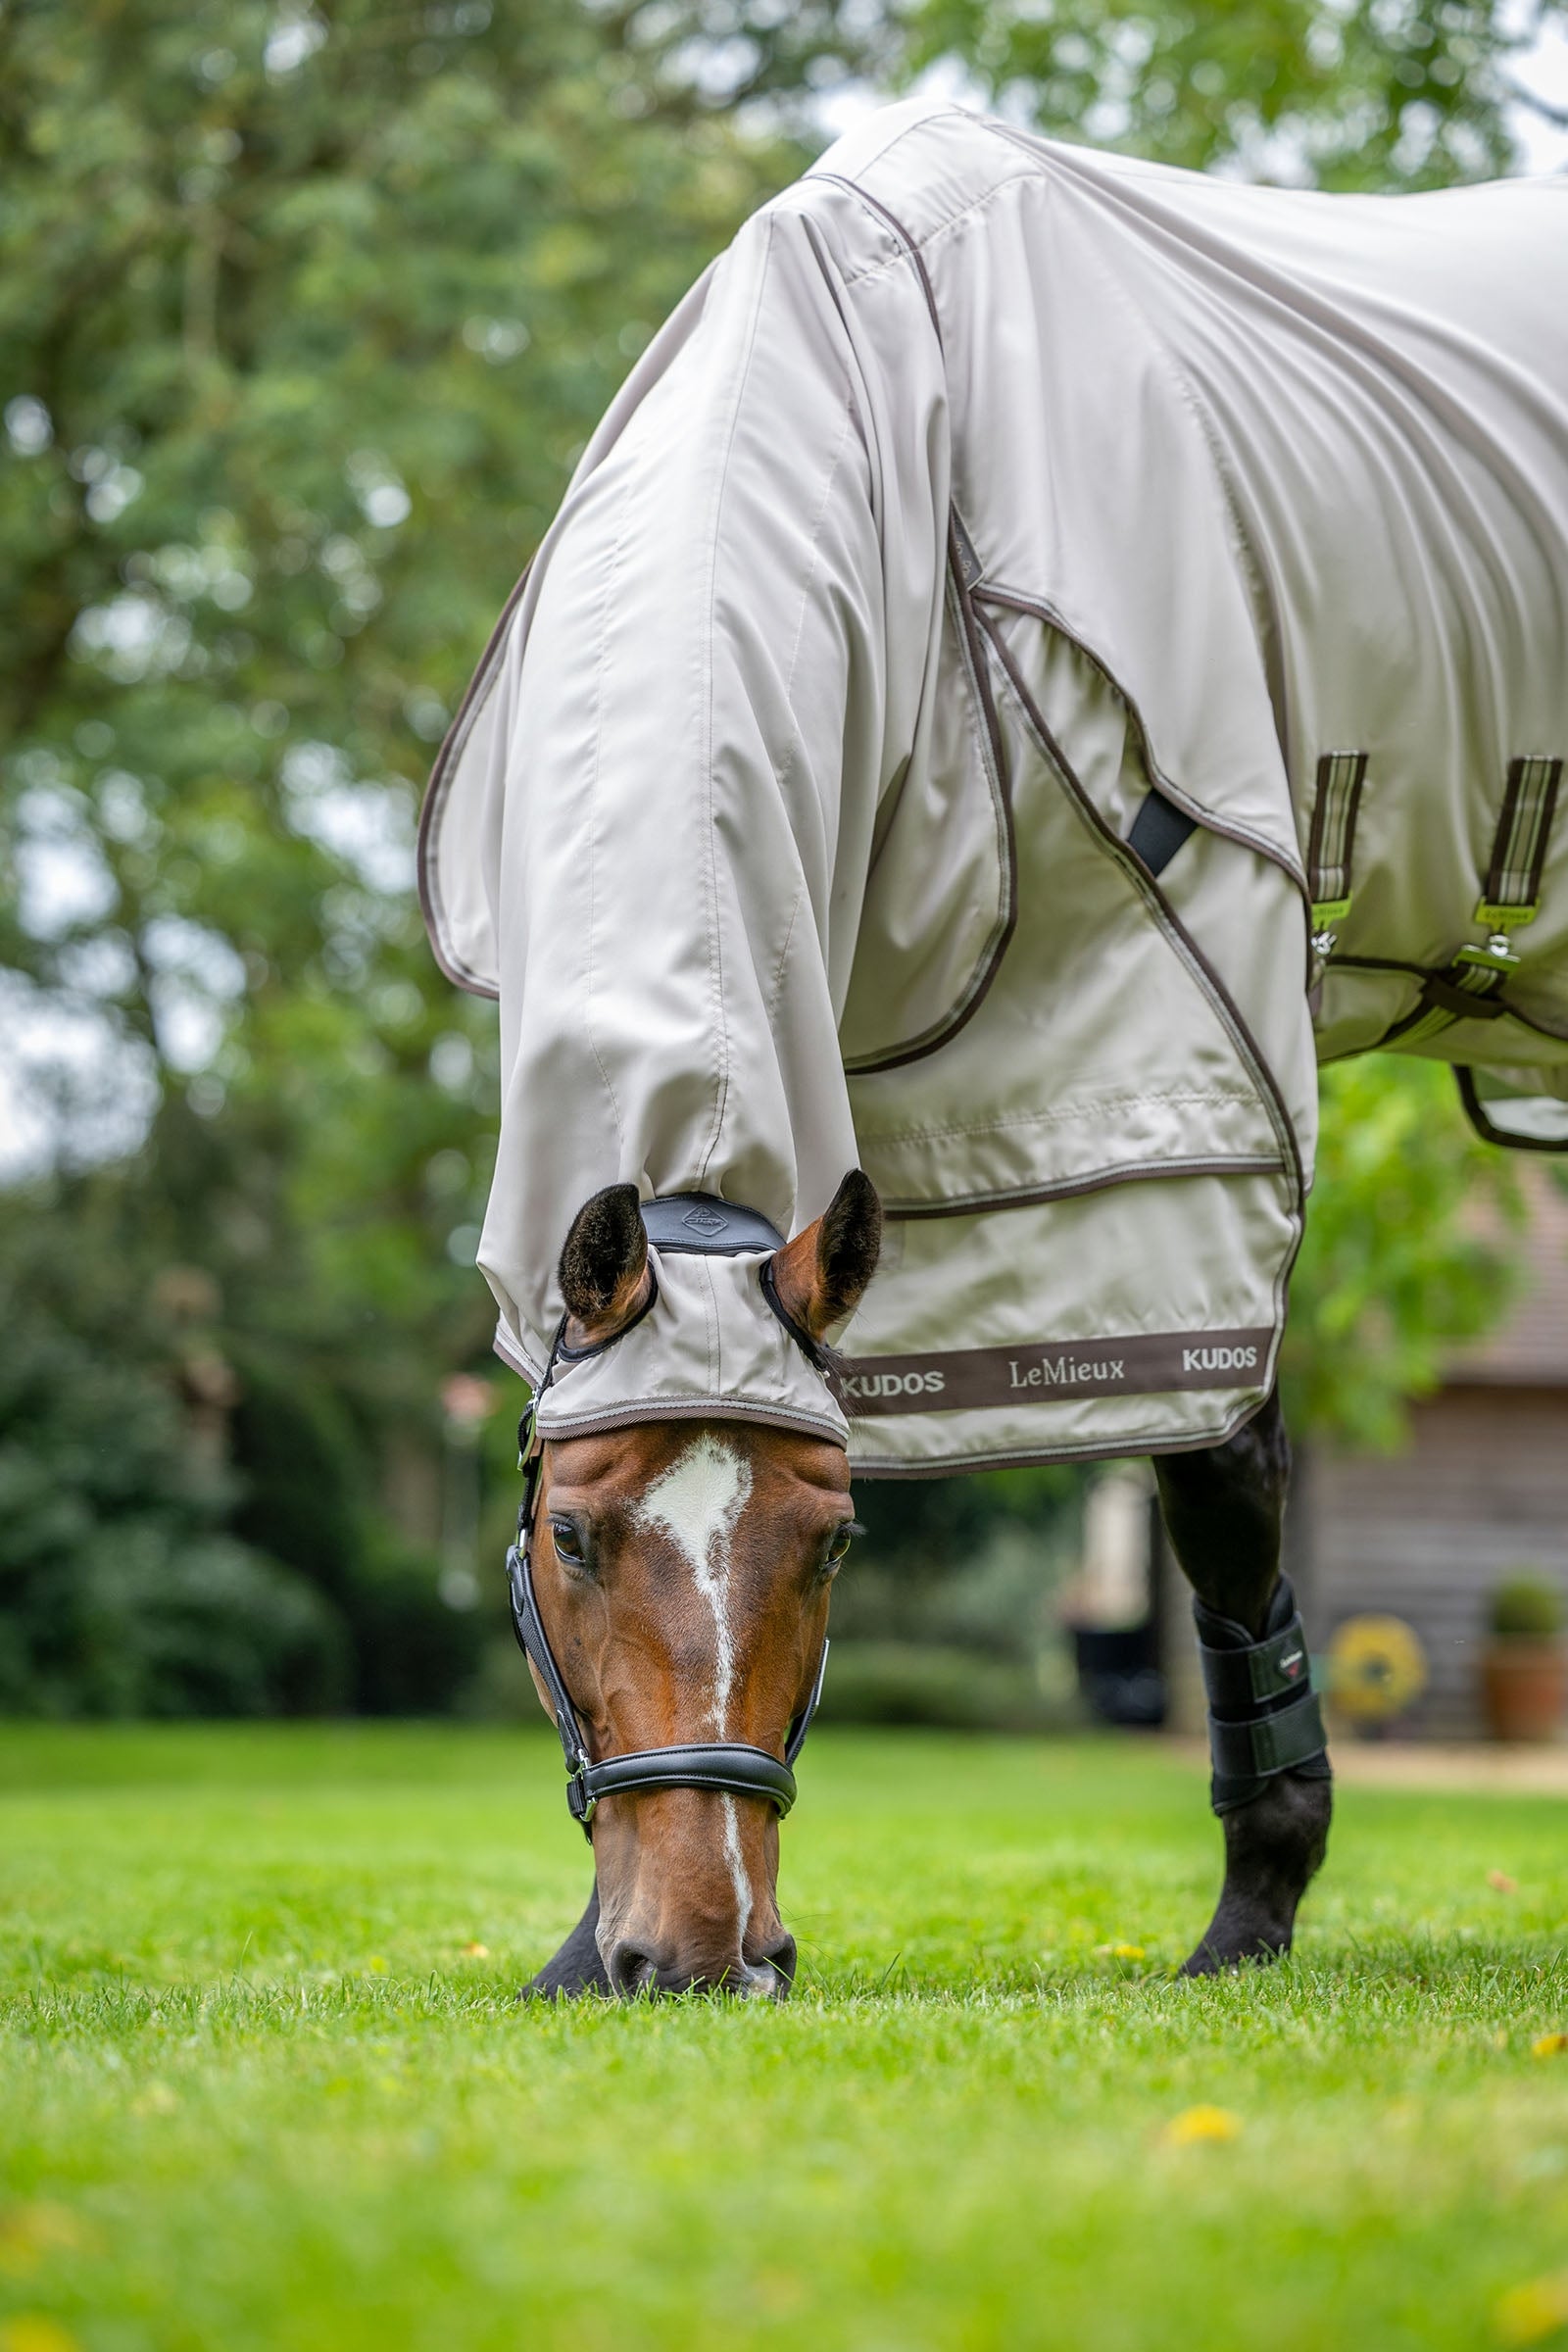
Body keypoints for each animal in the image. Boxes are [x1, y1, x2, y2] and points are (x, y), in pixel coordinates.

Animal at [418, 102, 1568, 1995]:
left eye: (831, 1542)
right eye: (569, 1532)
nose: (703, 1952)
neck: (906, 442)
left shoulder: (1179, 1122)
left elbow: (1220, 1477)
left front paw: (1252, 1917)